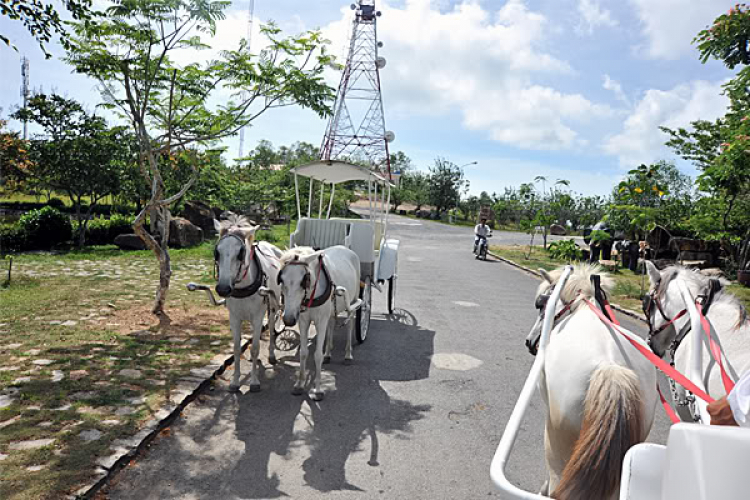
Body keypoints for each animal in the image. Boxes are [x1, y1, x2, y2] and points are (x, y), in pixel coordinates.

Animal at [213, 217, 284, 392]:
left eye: (240, 252)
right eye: (217, 252)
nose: (223, 288)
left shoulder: (258, 316)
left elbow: (257, 347)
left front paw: (254, 381)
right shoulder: (234, 318)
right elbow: (237, 349)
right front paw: (235, 381)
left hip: (272, 305)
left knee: (271, 327)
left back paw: (271, 354)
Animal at [280, 244, 362, 400]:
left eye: (304, 280)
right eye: (281, 280)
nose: (288, 319)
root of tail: (346, 248)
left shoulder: (320, 321)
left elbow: (317, 355)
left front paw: (318, 390)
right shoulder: (303, 320)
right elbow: (303, 352)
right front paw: (299, 385)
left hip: (353, 301)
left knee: (350, 322)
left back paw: (348, 355)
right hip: (330, 309)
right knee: (332, 323)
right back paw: (328, 353)